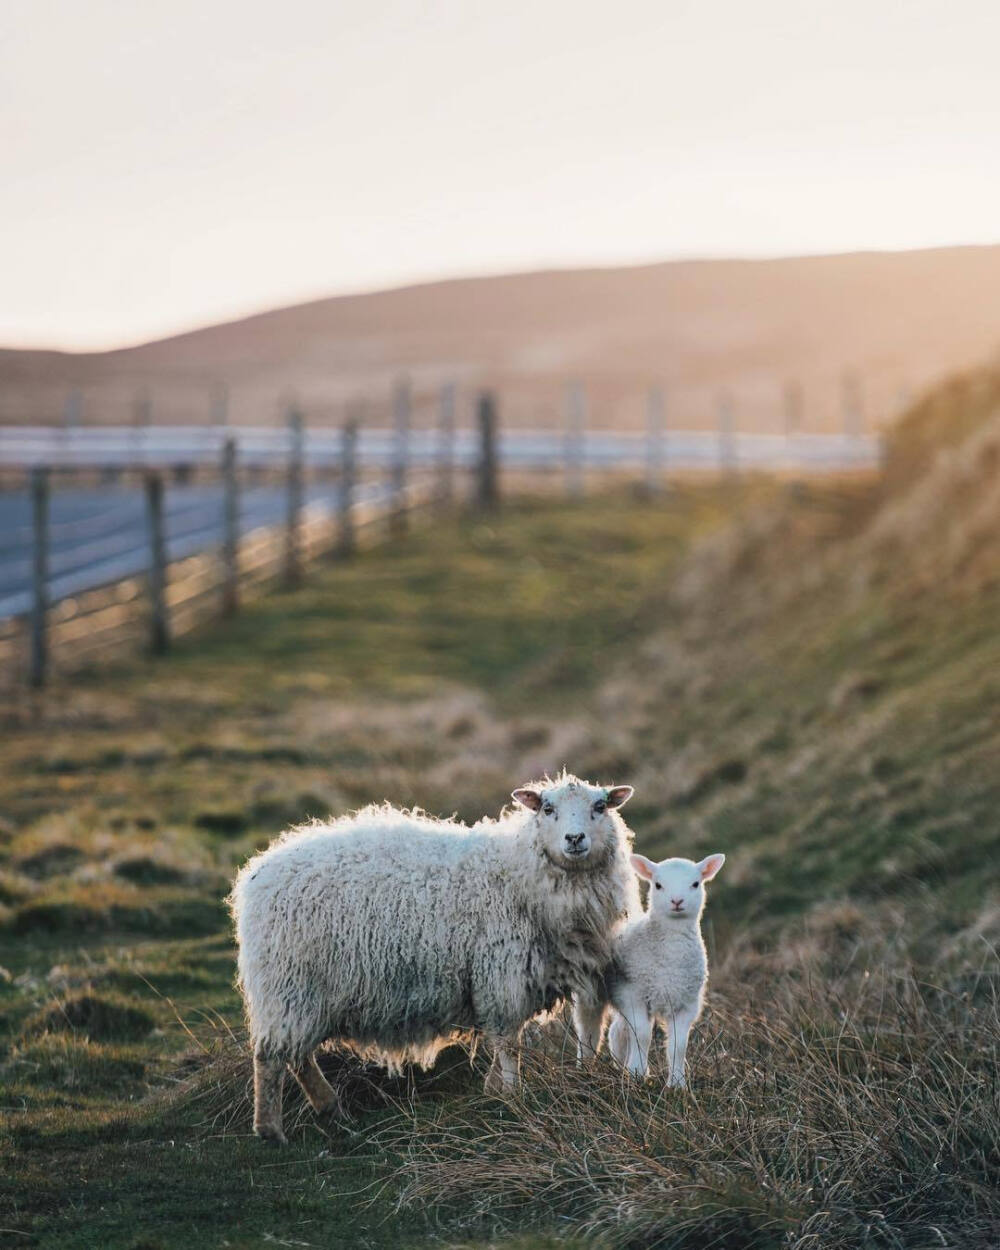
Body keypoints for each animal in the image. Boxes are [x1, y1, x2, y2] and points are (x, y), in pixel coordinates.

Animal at [227, 770, 637, 1145]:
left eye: (600, 806)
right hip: (288, 984)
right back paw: (270, 1130)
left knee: (298, 1056)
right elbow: (508, 1043)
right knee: (270, 1057)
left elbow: (505, 1040)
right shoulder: (501, 975)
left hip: (302, 995)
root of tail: (257, 875)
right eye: (548, 809)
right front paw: (514, 1095)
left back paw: (329, 1108)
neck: (519, 873)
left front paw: (494, 1089)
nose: (575, 839)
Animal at [605, 850, 725, 1085]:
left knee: (620, 1031)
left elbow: (678, 1045)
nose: (676, 901)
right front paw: (637, 1073)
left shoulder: (686, 1003)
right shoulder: (634, 994)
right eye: (658, 885)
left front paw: (677, 1083)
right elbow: (642, 1035)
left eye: (695, 883)